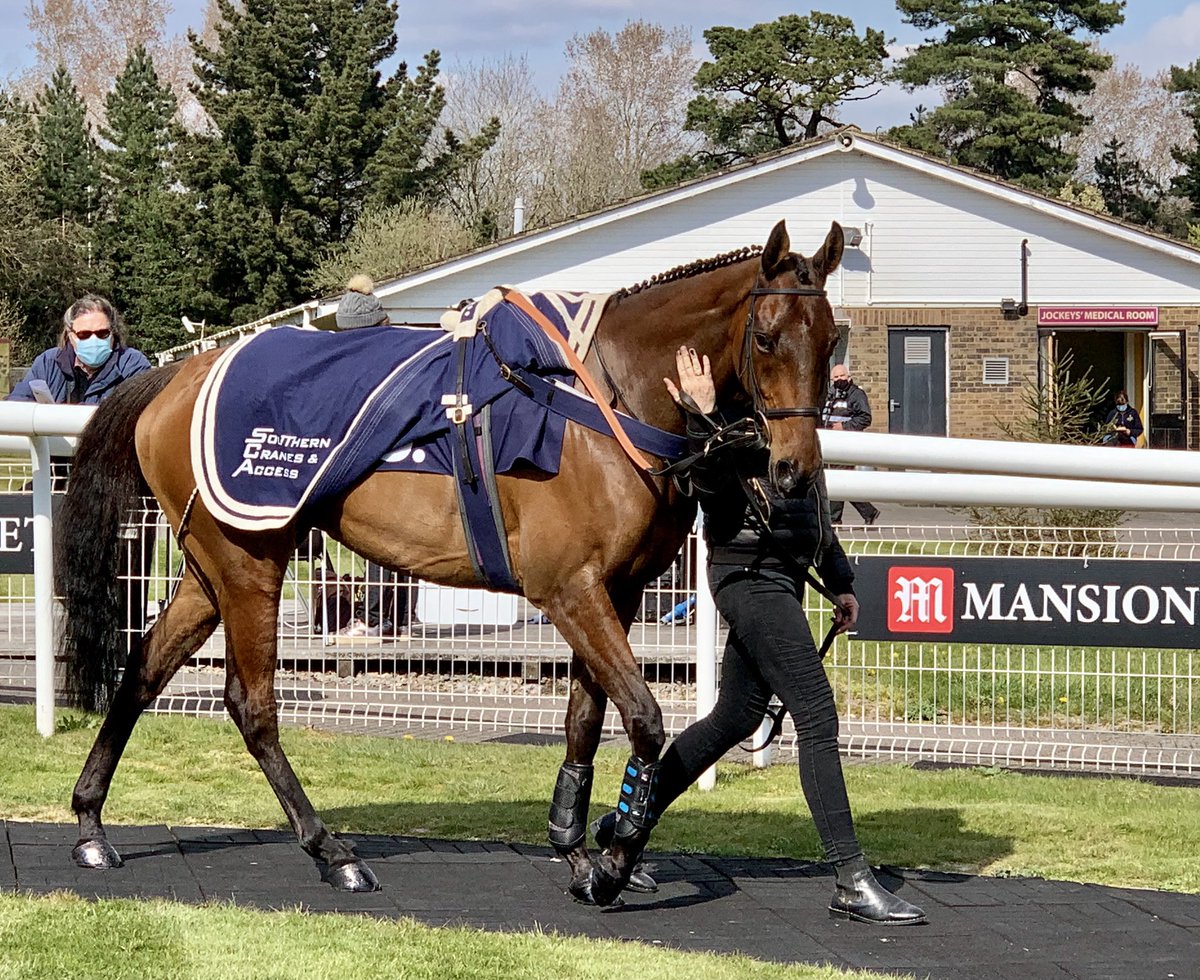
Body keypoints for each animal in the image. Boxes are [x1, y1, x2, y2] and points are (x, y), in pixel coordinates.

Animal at [56, 219, 844, 906]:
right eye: (767, 337)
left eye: (832, 341)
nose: (794, 470)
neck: (604, 396)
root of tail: (177, 377)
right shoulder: (569, 589)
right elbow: (645, 717)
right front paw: (616, 857)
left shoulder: (612, 593)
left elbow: (585, 720)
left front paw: (576, 845)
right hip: (249, 560)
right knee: (251, 705)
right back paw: (330, 850)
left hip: (206, 566)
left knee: (142, 672)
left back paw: (91, 823)